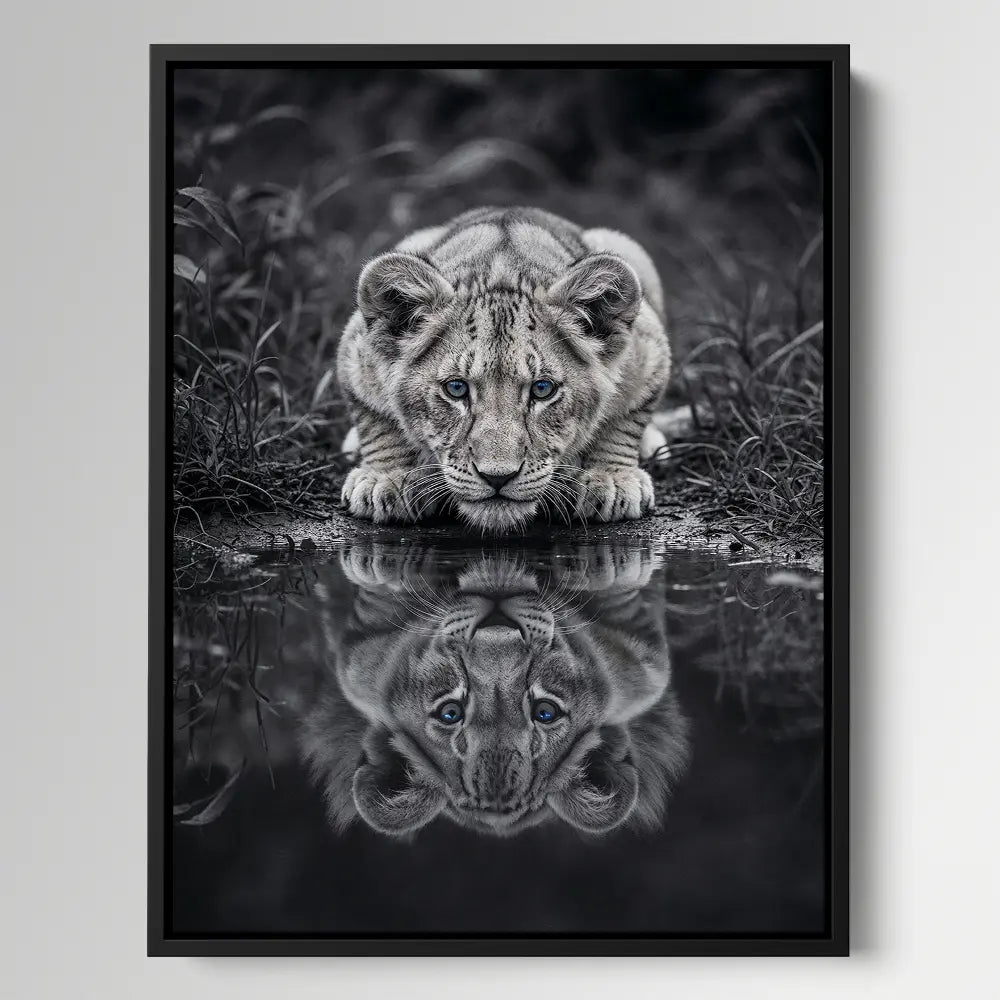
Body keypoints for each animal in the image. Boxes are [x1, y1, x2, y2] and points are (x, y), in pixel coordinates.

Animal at [336, 206, 671, 531]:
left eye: (542, 389)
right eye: (456, 388)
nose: (497, 477)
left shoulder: (649, 352)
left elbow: (622, 422)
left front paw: (610, 479)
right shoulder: (355, 353)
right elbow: (378, 423)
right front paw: (388, 478)